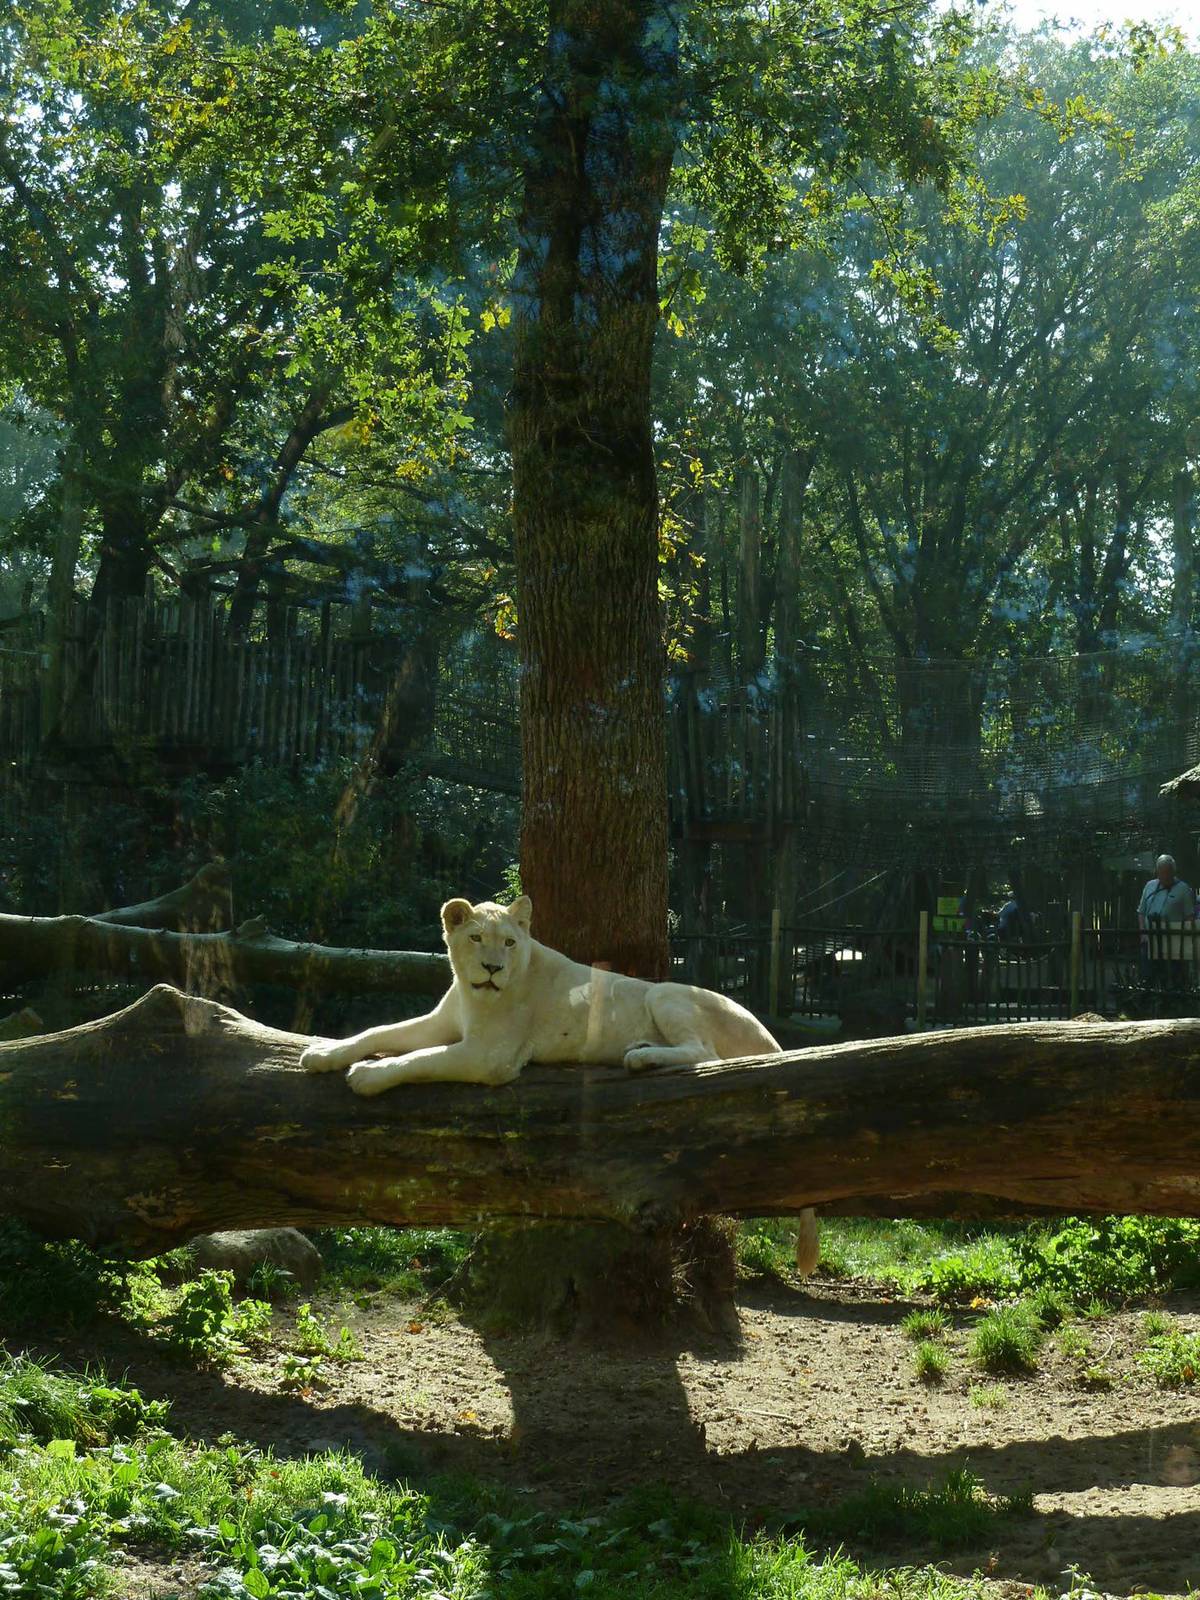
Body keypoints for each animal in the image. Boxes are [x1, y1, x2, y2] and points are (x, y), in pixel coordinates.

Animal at [300, 895, 820, 1275]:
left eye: (509, 943)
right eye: (476, 937)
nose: (493, 969)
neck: (473, 995)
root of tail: (771, 1037)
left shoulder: (489, 1056)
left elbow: (418, 1060)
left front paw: (368, 1076)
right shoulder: (441, 1024)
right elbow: (378, 1033)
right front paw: (323, 1054)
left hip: (665, 992)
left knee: (704, 1054)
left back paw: (641, 1056)